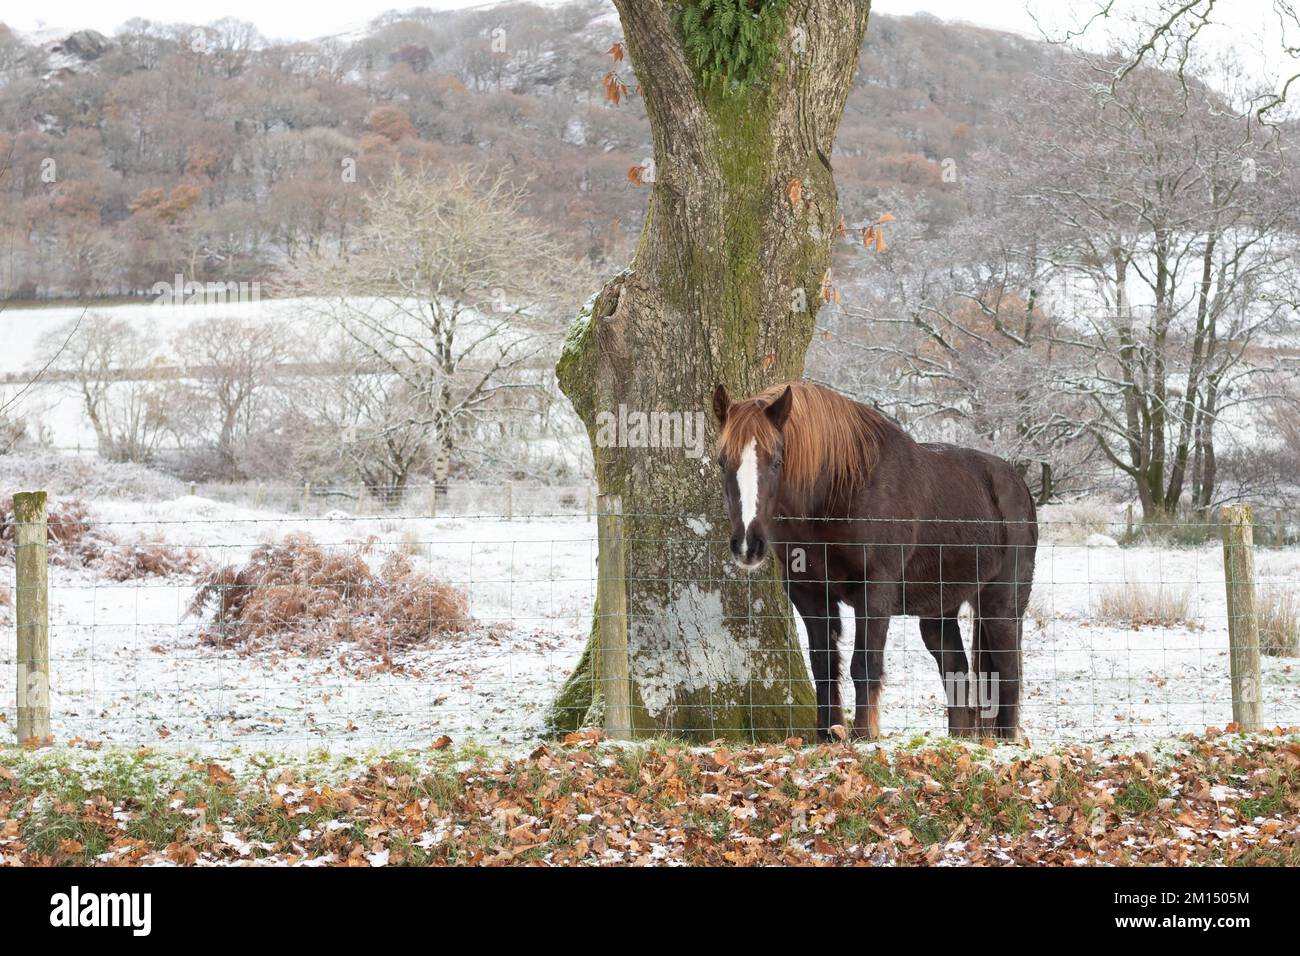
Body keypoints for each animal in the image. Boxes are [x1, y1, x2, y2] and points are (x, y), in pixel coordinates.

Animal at [712, 379, 1034, 738]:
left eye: (777, 461)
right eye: (722, 462)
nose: (747, 544)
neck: (841, 491)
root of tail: (1016, 483)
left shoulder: (875, 592)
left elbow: (864, 665)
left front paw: (864, 735)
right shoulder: (809, 595)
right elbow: (823, 665)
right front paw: (829, 734)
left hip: (1002, 603)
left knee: (1009, 672)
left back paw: (1006, 740)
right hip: (939, 610)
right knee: (956, 668)